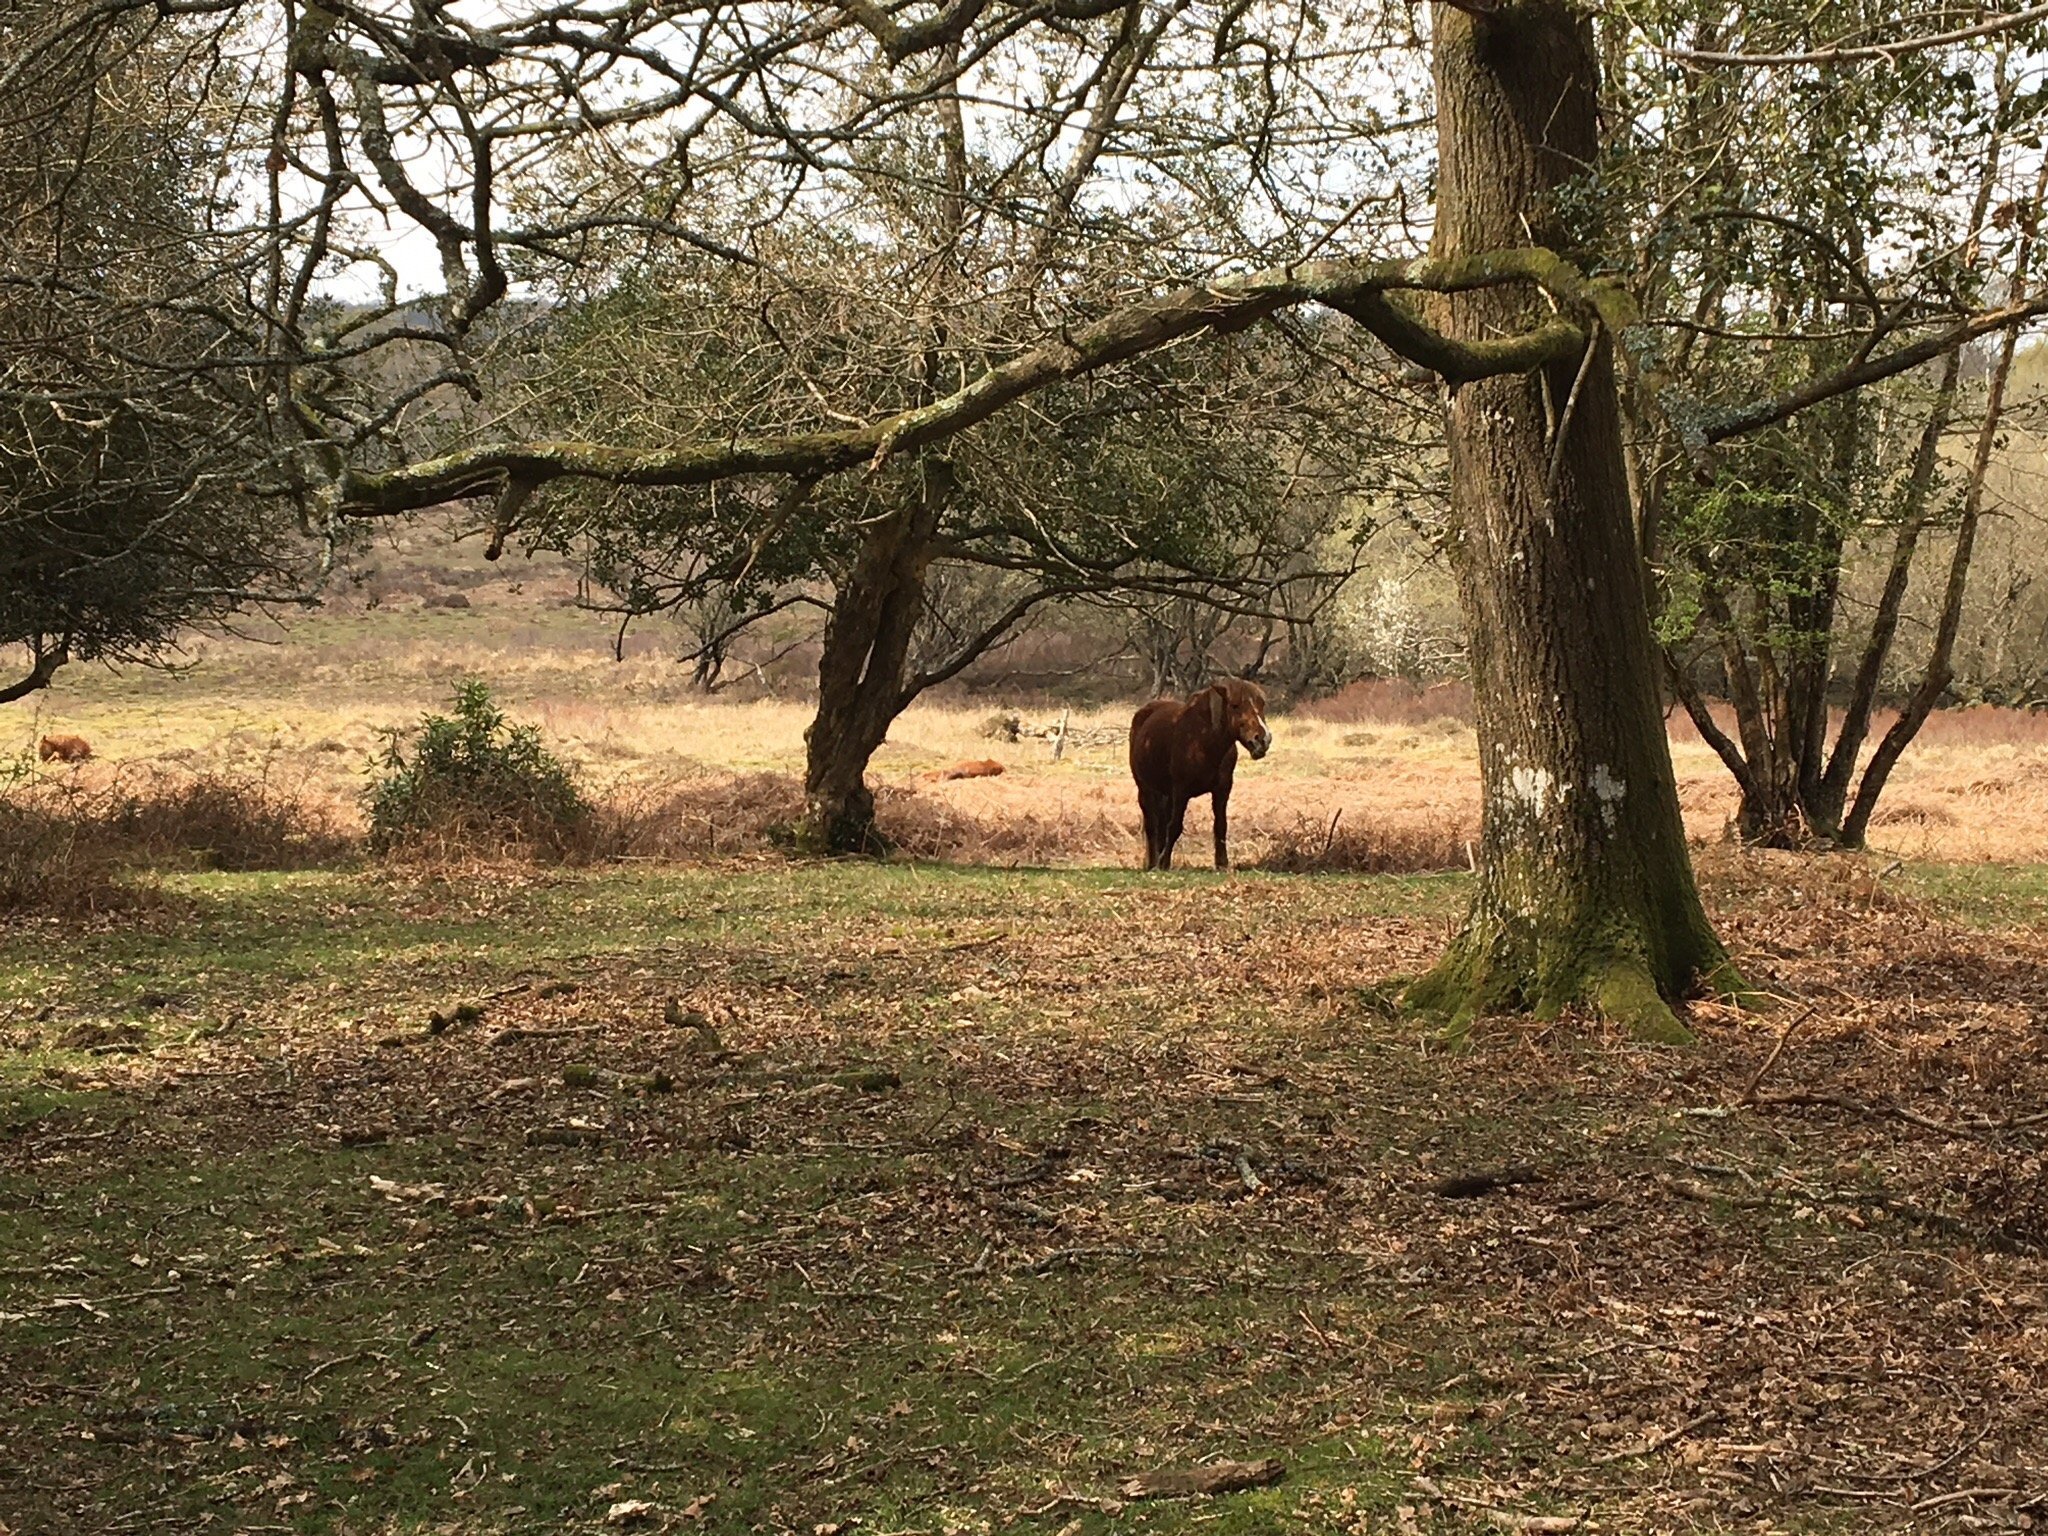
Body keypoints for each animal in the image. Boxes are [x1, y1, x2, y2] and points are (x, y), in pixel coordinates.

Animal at [1130, 679, 1269, 872]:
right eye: (1235, 706)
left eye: (1261, 704)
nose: (1262, 740)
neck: (1203, 741)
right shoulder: (1181, 792)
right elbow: (1175, 826)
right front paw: (1164, 862)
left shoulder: (1222, 790)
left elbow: (1221, 826)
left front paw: (1222, 864)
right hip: (1145, 789)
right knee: (1152, 825)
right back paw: (1153, 863)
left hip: (1166, 795)